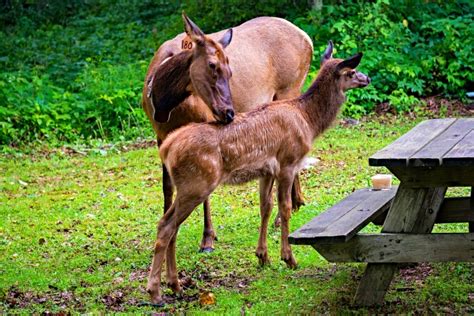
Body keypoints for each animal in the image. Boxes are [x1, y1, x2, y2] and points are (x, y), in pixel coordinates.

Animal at [144, 14, 314, 252]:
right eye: (212, 65)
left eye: (230, 70)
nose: (229, 112)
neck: (164, 107)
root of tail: (308, 38)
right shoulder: (160, 137)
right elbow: (167, 187)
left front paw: (207, 238)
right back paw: (298, 201)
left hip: (289, 87)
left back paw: (283, 215)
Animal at [146, 41, 372, 304]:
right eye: (351, 72)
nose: (367, 78)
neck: (308, 121)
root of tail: (167, 148)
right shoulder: (287, 161)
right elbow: (284, 208)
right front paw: (289, 258)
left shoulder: (266, 171)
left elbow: (265, 208)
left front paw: (263, 256)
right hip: (196, 183)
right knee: (166, 226)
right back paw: (156, 291)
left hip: (189, 185)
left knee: (171, 226)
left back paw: (175, 284)